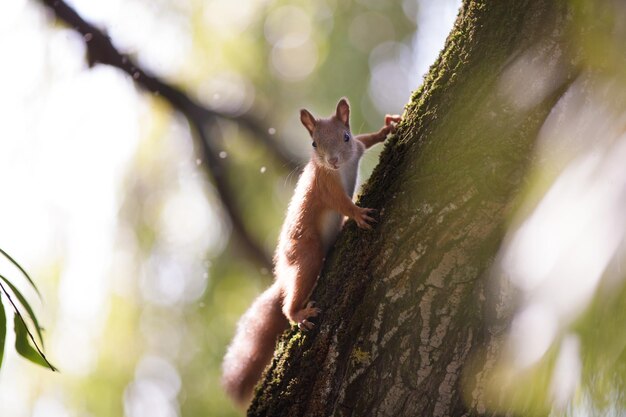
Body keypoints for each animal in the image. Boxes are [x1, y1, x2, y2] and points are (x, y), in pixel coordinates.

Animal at [219, 96, 400, 404]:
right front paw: (358, 214)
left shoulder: (357, 149)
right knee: (291, 297)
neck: (340, 169)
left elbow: (366, 140)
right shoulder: (326, 187)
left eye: (345, 136)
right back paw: (298, 314)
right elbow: (342, 204)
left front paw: (386, 129)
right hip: (307, 255)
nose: (333, 160)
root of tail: (283, 273)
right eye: (314, 143)